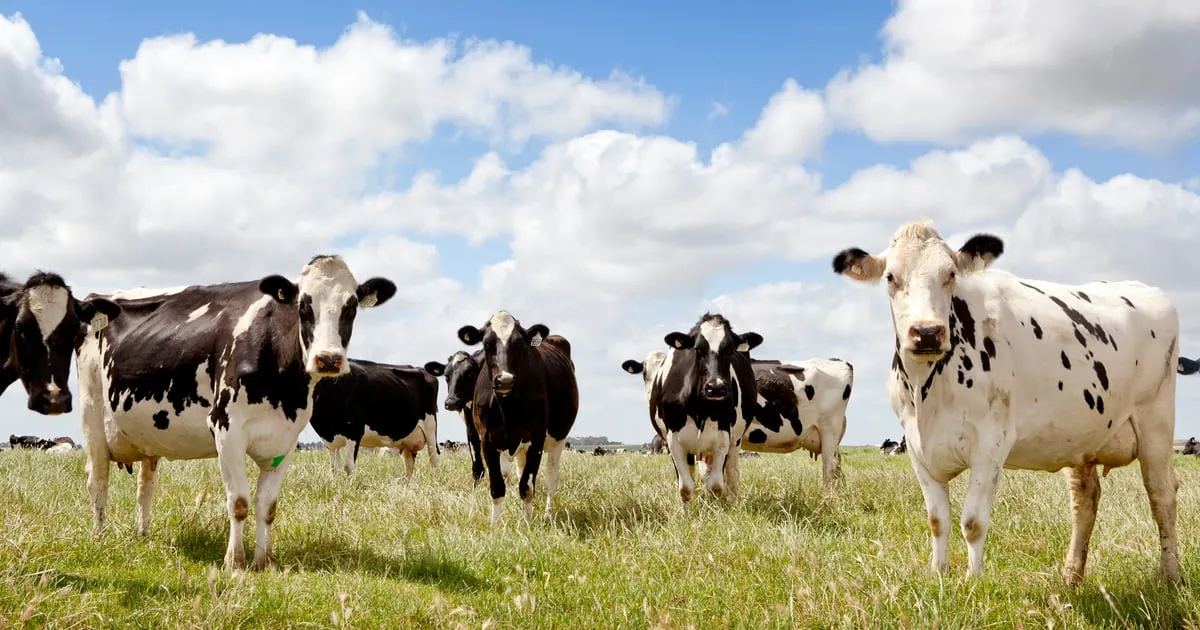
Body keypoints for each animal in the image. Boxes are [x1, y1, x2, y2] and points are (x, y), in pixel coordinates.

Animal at [75, 254, 396, 570]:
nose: (328, 359)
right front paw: (235, 562)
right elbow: (239, 502)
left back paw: (142, 534)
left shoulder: (287, 439)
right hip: (92, 414)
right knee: (98, 479)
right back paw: (99, 537)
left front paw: (264, 561)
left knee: (145, 485)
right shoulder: (226, 429)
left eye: (350, 307)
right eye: (304, 306)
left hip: (146, 434)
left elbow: (267, 506)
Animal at [309, 358, 439, 479]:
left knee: (433, 458)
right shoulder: (330, 440)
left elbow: (348, 466)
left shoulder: (354, 431)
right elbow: (334, 468)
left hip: (431, 427)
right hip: (407, 439)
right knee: (409, 463)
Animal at [455, 311, 578, 525]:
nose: (504, 379)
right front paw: (495, 526)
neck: (507, 407)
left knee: (551, 477)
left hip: (558, 439)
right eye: (486, 343)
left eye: (519, 343)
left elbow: (527, 487)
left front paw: (527, 524)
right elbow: (497, 486)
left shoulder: (536, 439)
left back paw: (548, 513)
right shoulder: (486, 440)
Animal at [645, 312, 757, 503]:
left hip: (734, 441)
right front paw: (686, 510)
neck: (699, 410)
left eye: (730, 349)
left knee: (731, 474)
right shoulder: (673, 441)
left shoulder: (722, 438)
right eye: (697, 349)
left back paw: (731, 500)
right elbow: (685, 487)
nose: (716, 387)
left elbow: (716, 485)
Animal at [832, 220, 1181, 585]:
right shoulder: (916, 447)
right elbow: (937, 520)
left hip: (1155, 423)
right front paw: (939, 575)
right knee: (1085, 498)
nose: (927, 332)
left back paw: (1170, 575)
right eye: (891, 277)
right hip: (1083, 434)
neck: (926, 392)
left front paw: (973, 582)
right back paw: (1071, 576)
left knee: (1162, 494)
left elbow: (972, 523)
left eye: (950, 274)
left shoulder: (991, 444)